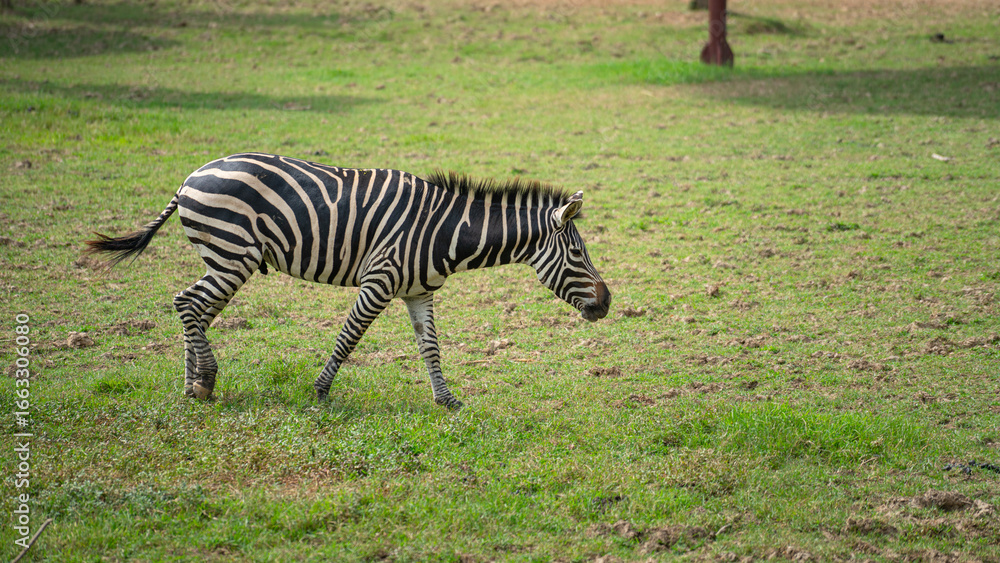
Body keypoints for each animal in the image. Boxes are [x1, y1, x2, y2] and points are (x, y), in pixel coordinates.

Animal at [85, 153, 611, 410]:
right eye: (578, 254)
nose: (607, 303)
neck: (446, 231)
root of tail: (190, 177)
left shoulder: (418, 292)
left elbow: (430, 348)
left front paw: (447, 401)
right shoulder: (378, 280)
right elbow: (348, 337)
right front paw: (320, 392)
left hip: (226, 259)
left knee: (191, 306)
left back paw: (194, 386)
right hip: (234, 255)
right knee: (189, 304)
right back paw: (206, 379)